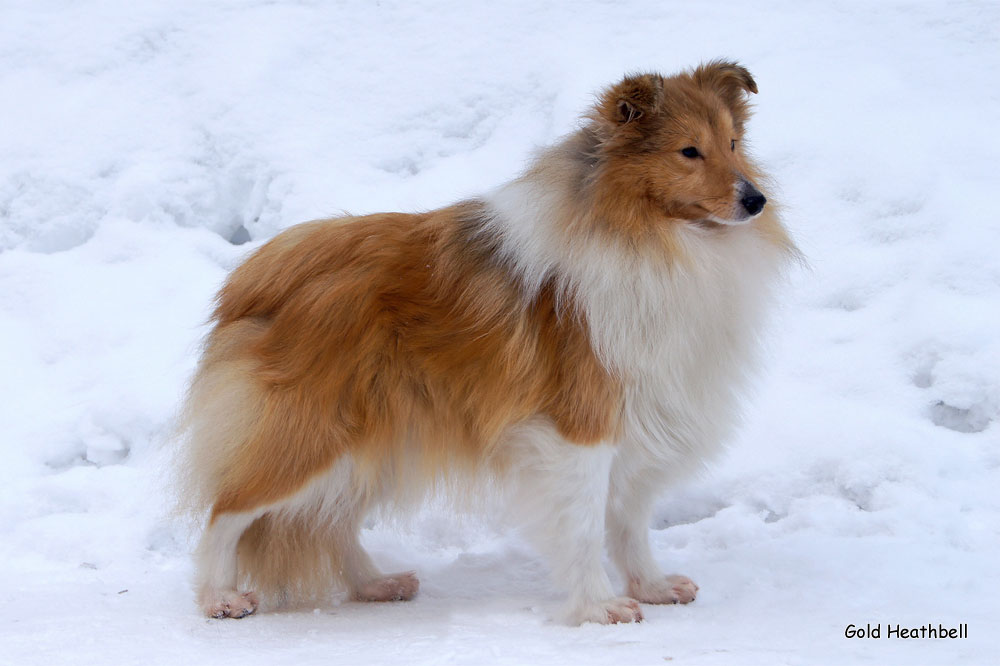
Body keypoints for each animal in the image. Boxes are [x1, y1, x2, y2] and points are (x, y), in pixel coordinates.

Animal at [178, 61, 796, 624]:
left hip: (376, 442)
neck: (655, 237)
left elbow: (629, 519)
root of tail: (255, 279)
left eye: (733, 143)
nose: (756, 200)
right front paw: (599, 607)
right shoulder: (582, 426)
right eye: (688, 151)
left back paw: (375, 584)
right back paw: (218, 598)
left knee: (326, 522)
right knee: (226, 511)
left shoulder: (640, 414)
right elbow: (583, 525)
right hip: (313, 434)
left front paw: (652, 586)